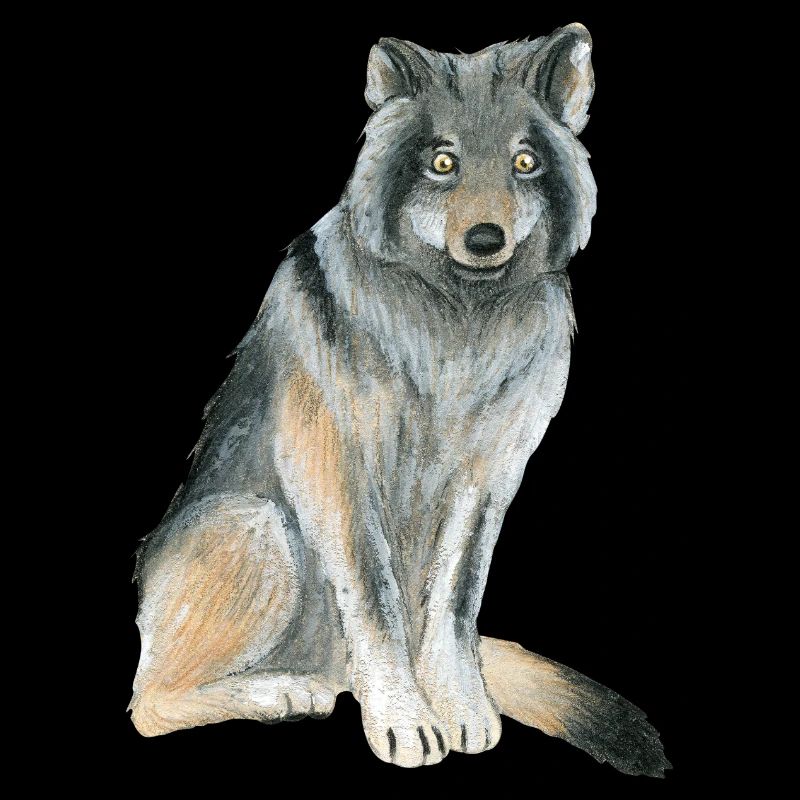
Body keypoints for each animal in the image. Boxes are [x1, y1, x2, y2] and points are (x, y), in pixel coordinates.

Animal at [130, 25, 669, 775]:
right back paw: (282, 692)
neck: (457, 324)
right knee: (145, 703)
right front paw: (407, 721)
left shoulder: (488, 480)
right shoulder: (338, 472)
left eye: (525, 163)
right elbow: (375, 598)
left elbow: (454, 601)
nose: (485, 239)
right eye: (443, 162)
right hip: (258, 525)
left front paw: (461, 707)